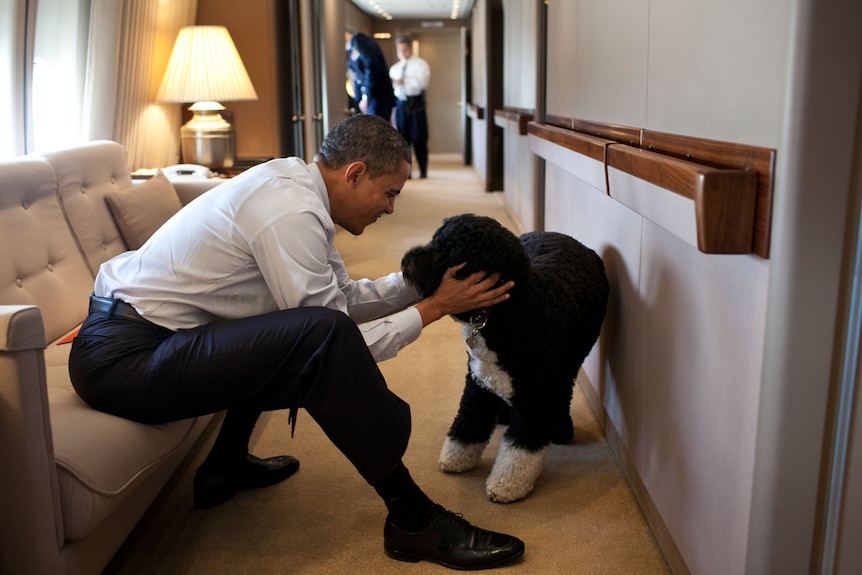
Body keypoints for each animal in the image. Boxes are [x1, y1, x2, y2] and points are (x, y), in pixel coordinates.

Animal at [402, 214, 612, 502]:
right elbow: (468, 422)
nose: (406, 260)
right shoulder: (477, 382)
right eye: (435, 238)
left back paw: (559, 427)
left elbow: (521, 448)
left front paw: (507, 484)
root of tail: (558, 234)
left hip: (570, 362)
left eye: (451, 250)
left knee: (564, 392)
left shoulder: (536, 394)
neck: (511, 310)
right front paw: (457, 458)